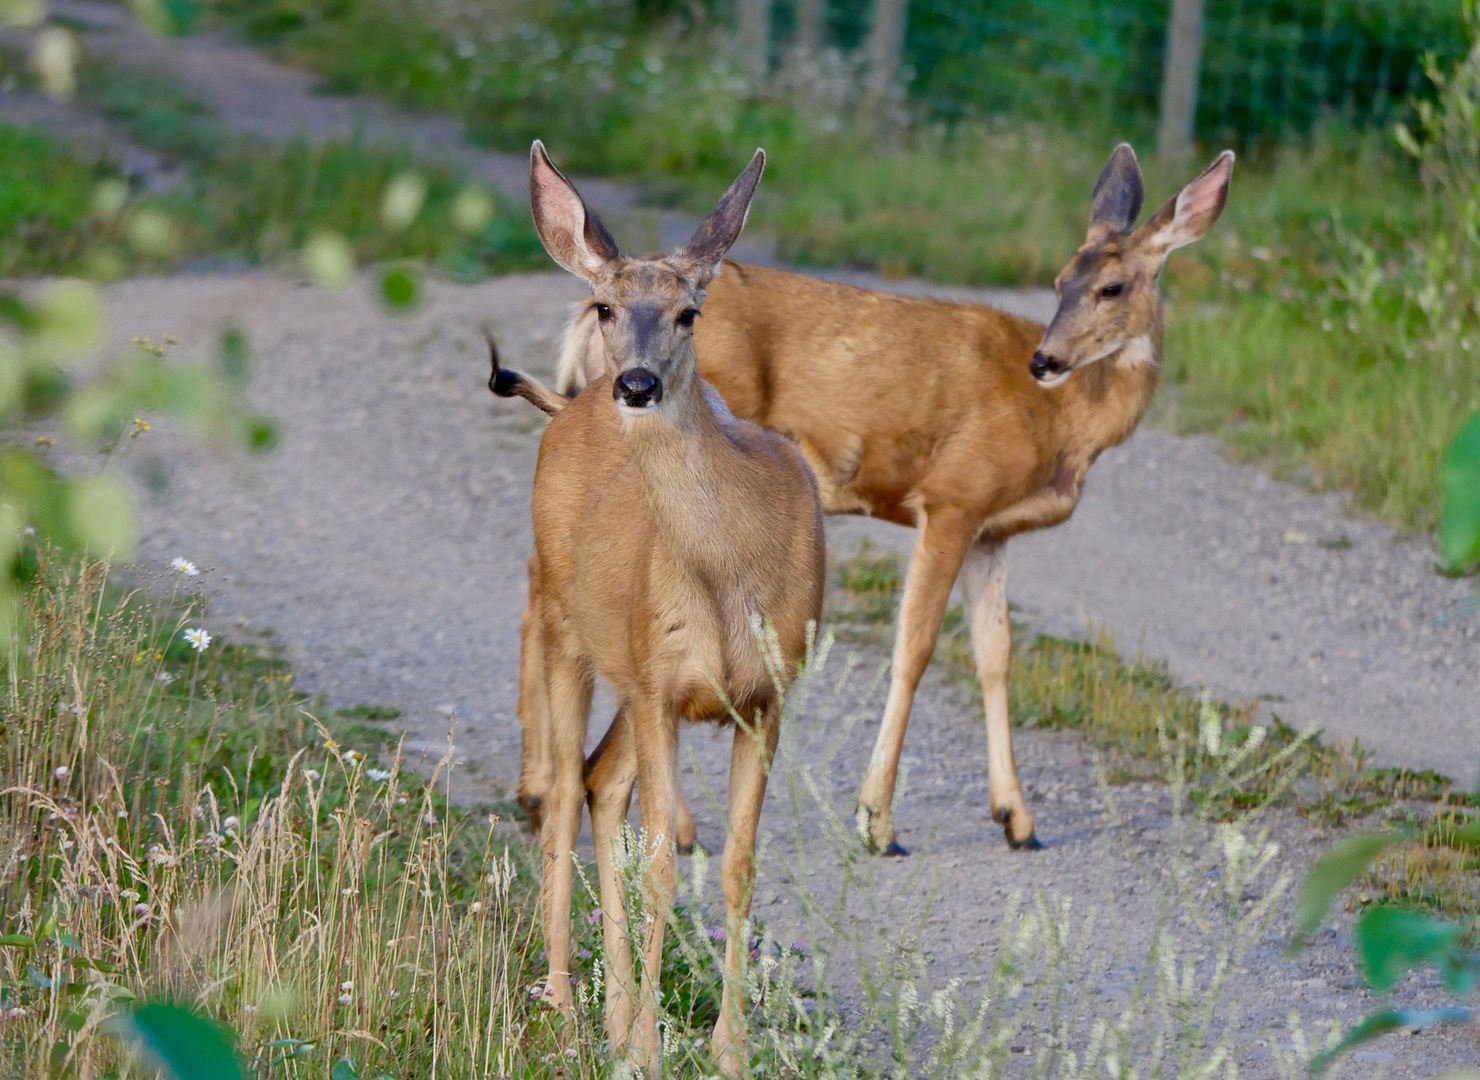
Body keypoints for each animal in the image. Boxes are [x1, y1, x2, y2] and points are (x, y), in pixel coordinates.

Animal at [494, 139, 822, 1071]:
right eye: (605, 305)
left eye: (688, 313)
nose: (636, 383)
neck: (731, 580)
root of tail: (569, 405)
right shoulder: (662, 683)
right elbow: (667, 865)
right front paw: (646, 1049)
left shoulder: (764, 696)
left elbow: (739, 864)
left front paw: (727, 1052)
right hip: (572, 631)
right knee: (564, 796)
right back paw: (568, 1003)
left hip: (633, 676)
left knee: (601, 784)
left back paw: (609, 1013)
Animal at [538, 142, 1231, 852]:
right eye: (1061, 282)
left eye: (1108, 286)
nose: (1046, 359)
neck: (1064, 427)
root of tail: (581, 317)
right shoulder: (954, 496)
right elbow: (915, 648)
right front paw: (877, 822)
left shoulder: (991, 530)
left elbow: (995, 654)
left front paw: (1017, 818)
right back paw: (659, 821)